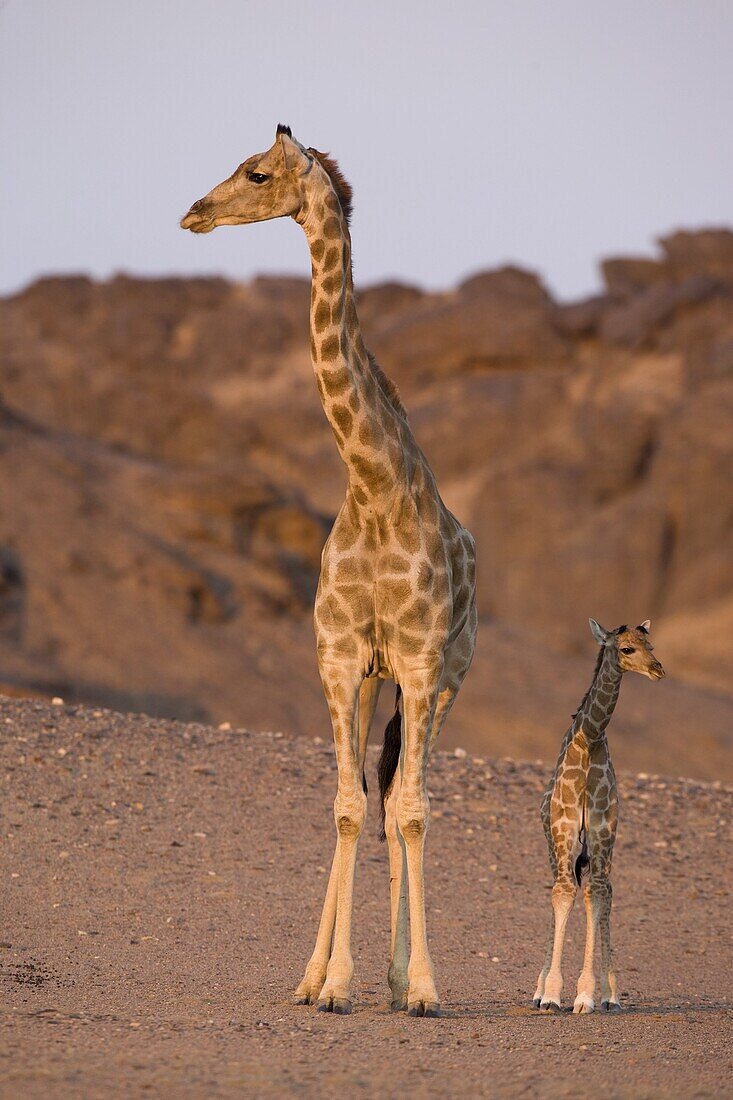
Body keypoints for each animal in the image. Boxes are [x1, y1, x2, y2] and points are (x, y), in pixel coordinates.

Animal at [180, 126, 477, 1012]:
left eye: (256, 174)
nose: (193, 212)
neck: (373, 487)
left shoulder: (418, 662)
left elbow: (410, 810)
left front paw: (419, 986)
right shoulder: (340, 658)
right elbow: (347, 807)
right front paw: (330, 981)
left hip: (446, 678)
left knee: (406, 797)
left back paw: (400, 976)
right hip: (376, 680)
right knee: (372, 796)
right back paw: (328, 976)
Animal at [530, 620, 660, 1012]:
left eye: (650, 645)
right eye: (626, 649)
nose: (658, 669)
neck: (589, 740)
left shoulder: (603, 831)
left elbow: (597, 896)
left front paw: (588, 994)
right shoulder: (564, 829)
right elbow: (563, 894)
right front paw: (551, 994)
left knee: (603, 890)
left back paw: (609, 994)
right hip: (553, 843)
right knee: (560, 887)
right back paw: (539, 989)